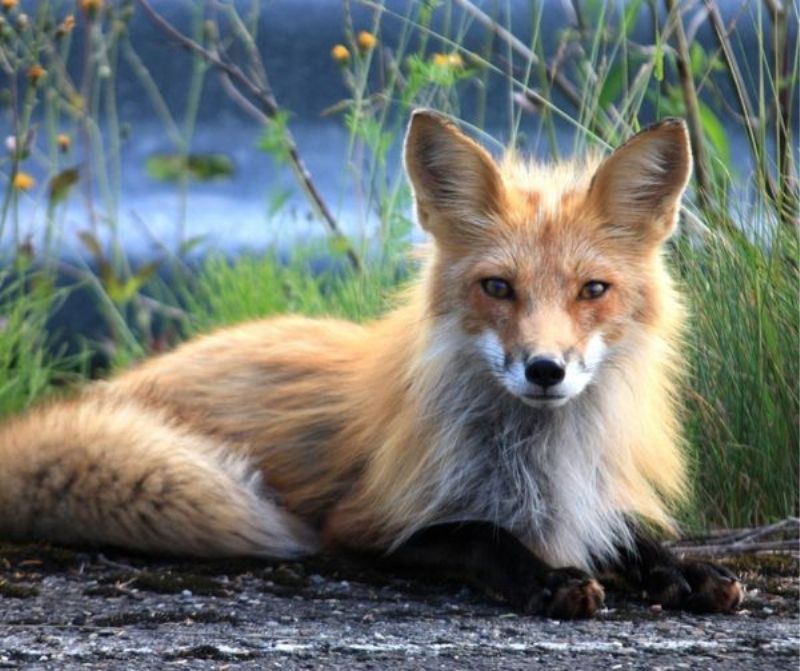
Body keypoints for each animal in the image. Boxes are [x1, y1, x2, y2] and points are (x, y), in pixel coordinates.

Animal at [0, 111, 744, 620]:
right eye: (498, 287)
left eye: (593, 290)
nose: (544, 370)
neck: (536, 457)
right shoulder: (363, 525)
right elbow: (480, 535)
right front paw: (546, 577)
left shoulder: (584, 497)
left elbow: (627, 535)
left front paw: (682, 570)